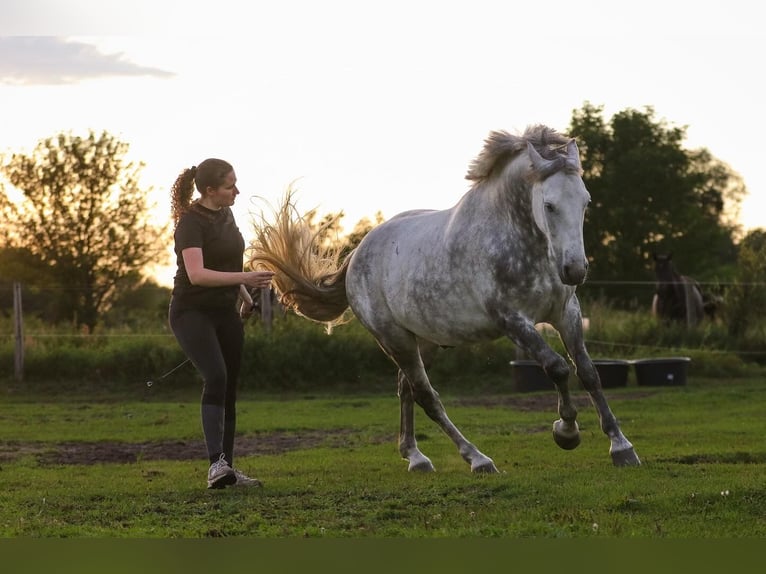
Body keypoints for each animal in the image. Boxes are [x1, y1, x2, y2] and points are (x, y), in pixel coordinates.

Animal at [249, 125, 641, 472]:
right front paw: (566, 432)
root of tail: (358, 254)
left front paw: (621, 447)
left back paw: (415, 457)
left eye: (586, 202)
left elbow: (588, 372)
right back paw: (477, 459)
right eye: (549, 205)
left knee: (406, 390)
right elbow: (557, 367)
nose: (575, 270)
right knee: (427, 396)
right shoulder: (512, 319)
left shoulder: (565, 312)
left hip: (423, 340)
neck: (520, 240)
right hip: (394, 339)